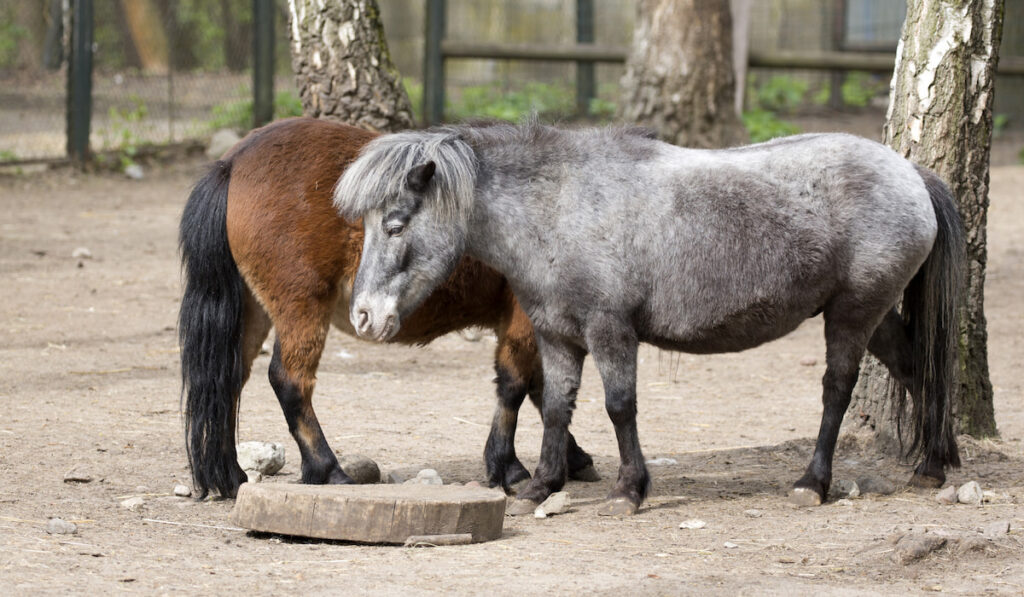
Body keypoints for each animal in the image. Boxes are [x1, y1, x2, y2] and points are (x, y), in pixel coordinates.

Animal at [176, 117, 593, 499]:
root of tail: (234, 161)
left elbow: (543, 389)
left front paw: (570, 457)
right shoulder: (522, 318)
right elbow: (516, 385)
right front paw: (510, 468)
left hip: (255, 314)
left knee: (227, 381)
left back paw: (232, 477)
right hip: (301, 309)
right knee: (289, 381)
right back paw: (327, 469)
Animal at [333, 120, 958, 514]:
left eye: (395, 223)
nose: (364, 317)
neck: (558, 208)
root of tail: (912, 174)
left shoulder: (610, 331)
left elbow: (619, 407)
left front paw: (628, 491)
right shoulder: (557, 336)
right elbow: (556, 406)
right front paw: (542, 485)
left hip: (853, 314)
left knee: (837, 389)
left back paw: (813, 482)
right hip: (877, 317)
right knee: (919, 371)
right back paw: (933, 464)